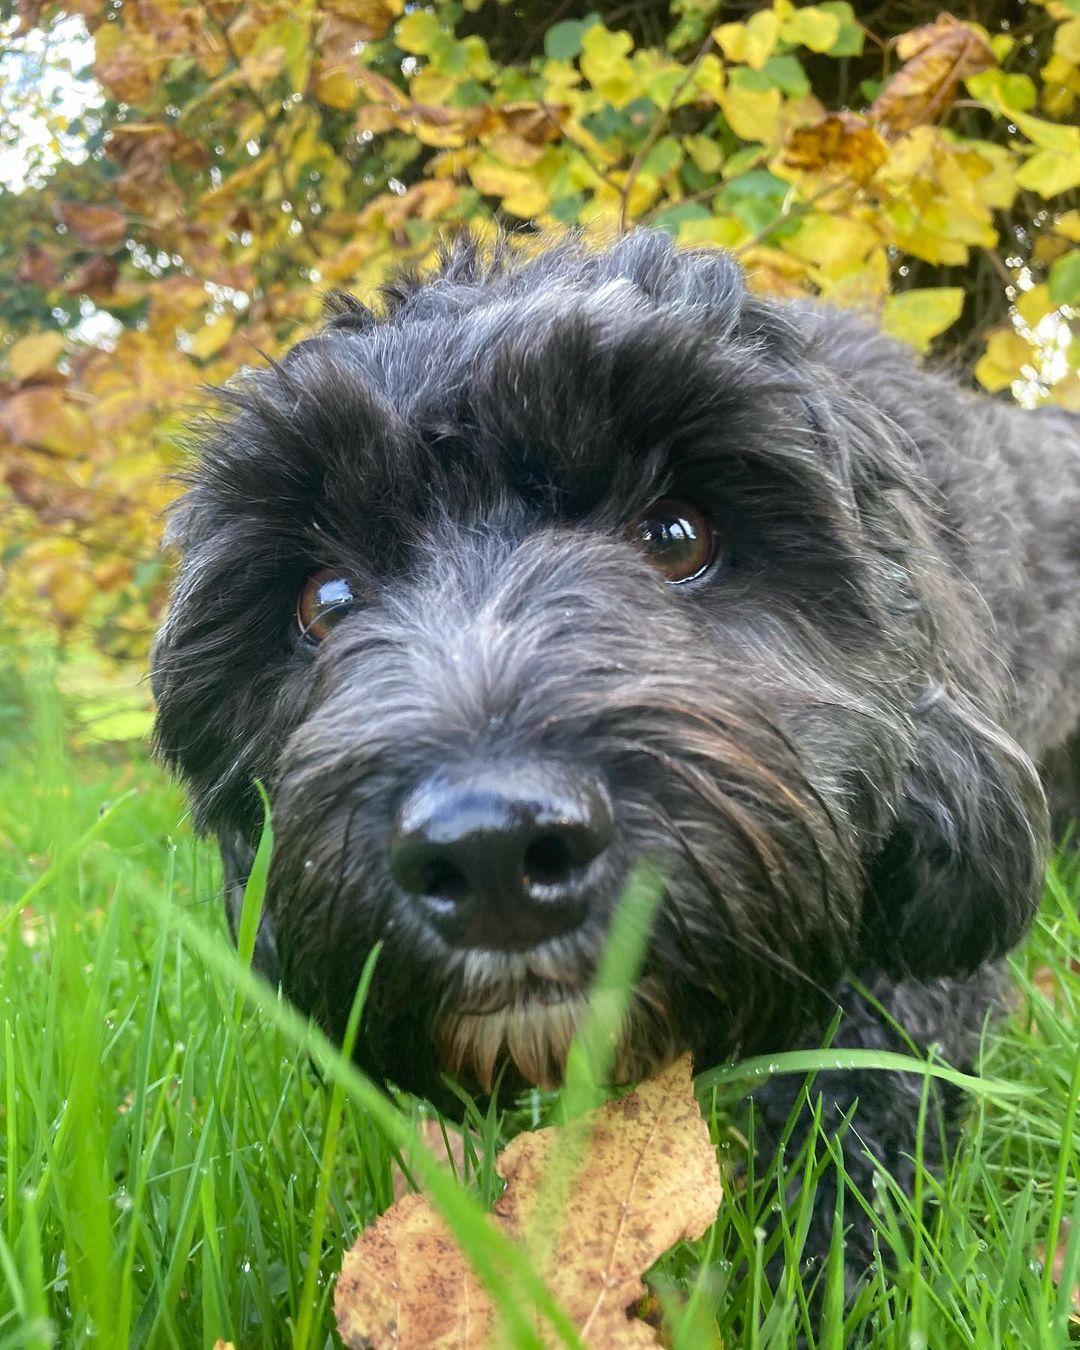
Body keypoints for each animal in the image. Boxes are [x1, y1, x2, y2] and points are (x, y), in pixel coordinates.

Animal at [151, 232, 1080, 1285]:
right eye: (325, 600)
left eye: (678, 535)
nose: (489, 851)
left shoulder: (918, 948)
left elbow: (871, 1102)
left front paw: (839, 1276)